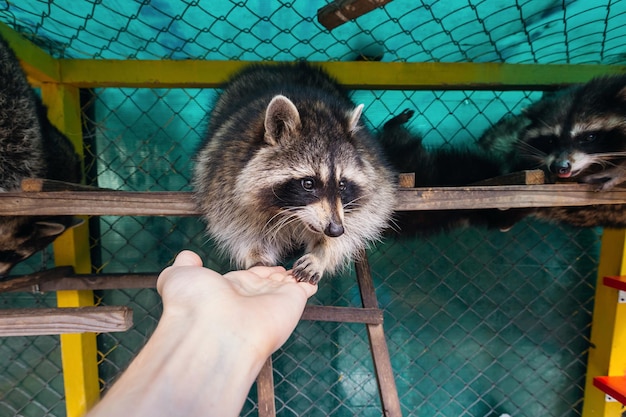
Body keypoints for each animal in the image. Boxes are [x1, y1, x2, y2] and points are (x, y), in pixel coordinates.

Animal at [193, 61, 392, 282]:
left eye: (342, 184)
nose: (335, 230)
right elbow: (237, 226)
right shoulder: (223, 174)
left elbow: (364, 217)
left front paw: (322, 252)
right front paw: (257, 258)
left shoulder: (375, 177)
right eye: (308, 183)